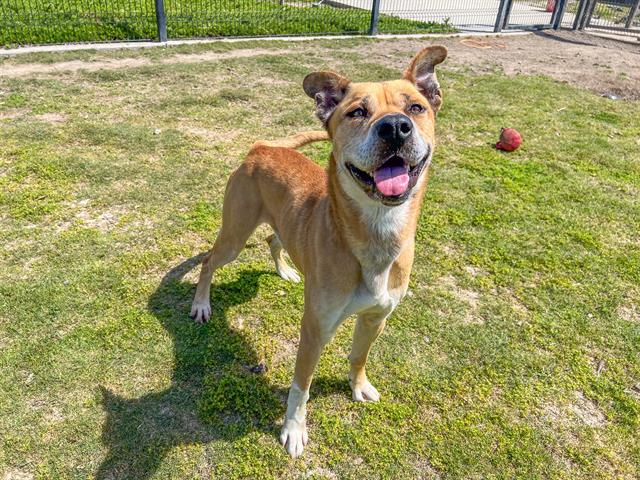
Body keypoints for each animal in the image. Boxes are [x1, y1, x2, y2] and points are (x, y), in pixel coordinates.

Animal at [190, 46, 450, 458]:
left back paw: (285, 270)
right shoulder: (315, 329)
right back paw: (201, 303)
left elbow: (359, 355)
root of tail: (262, 147)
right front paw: (294, 429)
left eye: (415, 107)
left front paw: (358, 385)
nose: (395, 127)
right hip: (234, 234)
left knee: (274, 240)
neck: (374, 234)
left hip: (280, 225)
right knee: (209, 260)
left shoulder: (376, 317)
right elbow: (301, 386)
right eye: (357, 112)